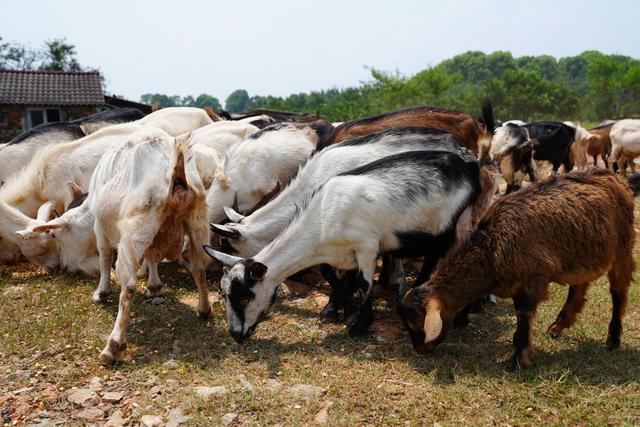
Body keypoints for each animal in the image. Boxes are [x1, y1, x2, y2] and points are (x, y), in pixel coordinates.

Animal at [206, 151, 484, 344]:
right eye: (223, 293)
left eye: (244, 296)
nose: (235, 334)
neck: (321, 219)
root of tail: (469, 165)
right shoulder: (342, 255)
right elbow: (338, 278)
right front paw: (343, 310)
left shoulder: (367, 247)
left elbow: (364, 285)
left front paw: (359, 326)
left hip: (453, 226)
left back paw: (458, 315)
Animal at [398, 169, 636, 370]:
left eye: (418, 325)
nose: (420, 350)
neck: (491, 248)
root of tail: (613, 177)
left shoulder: (533, 280)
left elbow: (523, 316)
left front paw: (519, 360)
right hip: (582, 252)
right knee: (579, 286)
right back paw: (558, 326)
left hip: (623, 248)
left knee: (618, 293)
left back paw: (613, 339)